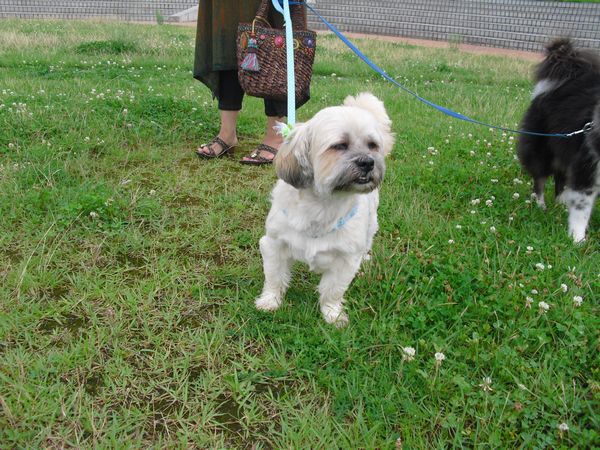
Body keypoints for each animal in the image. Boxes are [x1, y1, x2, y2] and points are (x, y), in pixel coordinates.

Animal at [254, 93, 394, 326]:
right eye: (340, 145)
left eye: (372, 145)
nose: (368, 162)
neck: (321, 206)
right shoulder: (274, 244)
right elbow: (275, 277)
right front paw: (270, 301)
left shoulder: (346, 260)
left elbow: (333, 290)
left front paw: (332, 314)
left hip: (371, 224)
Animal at [517, 38, 600, 242]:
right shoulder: (587, 167)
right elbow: (581, 211)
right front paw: (577, 239)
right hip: (544, 148)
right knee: (540, 179)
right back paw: (541, 205)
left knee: (560, 177)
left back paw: (561, 203)